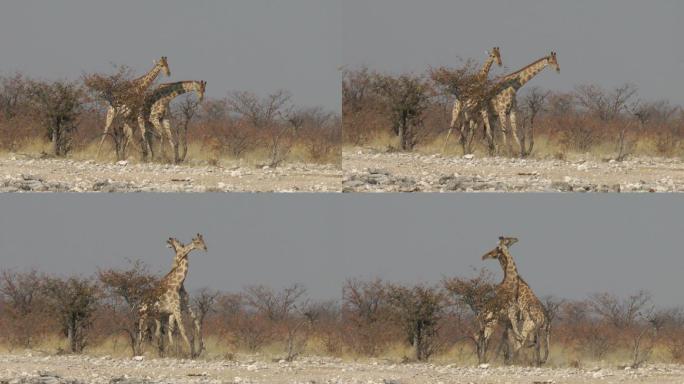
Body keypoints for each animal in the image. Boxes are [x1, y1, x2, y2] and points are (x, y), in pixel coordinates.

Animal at [480, 236, 552, 364]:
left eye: (494, 249)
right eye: (508, 240)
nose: (484, 256)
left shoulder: (512, 318)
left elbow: (510, 339)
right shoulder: (512, 318)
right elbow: (510, 339)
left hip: (534, 328)